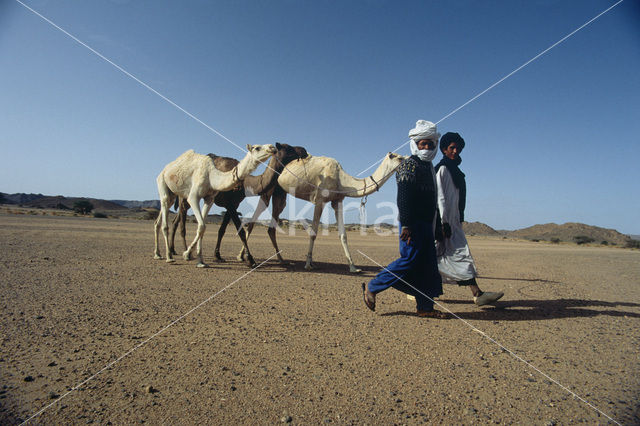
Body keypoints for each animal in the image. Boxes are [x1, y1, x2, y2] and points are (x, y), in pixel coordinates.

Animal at [168, 145, 308, 268]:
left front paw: (217, 255)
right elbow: (240, 231)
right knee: (182, 224)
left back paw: (174, 250)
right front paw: (250, 259)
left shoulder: (233, 205)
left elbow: (222, 230)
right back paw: (186, 252)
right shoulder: (230, 204)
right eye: (289, 148)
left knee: (176, 220)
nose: (304, 150)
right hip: (184, 196)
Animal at [240, 153, 404, 272]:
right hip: (268, 188)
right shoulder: (319, 200)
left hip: (280, 194)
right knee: (254, 219)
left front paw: (353, 267)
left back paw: (281, 259)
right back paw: (243, 257)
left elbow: (343, 235)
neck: (342, 180)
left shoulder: (337, 201)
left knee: (272, 225)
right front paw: (308, 264)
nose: (409, 158)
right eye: (399, 157)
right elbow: (313, 232)